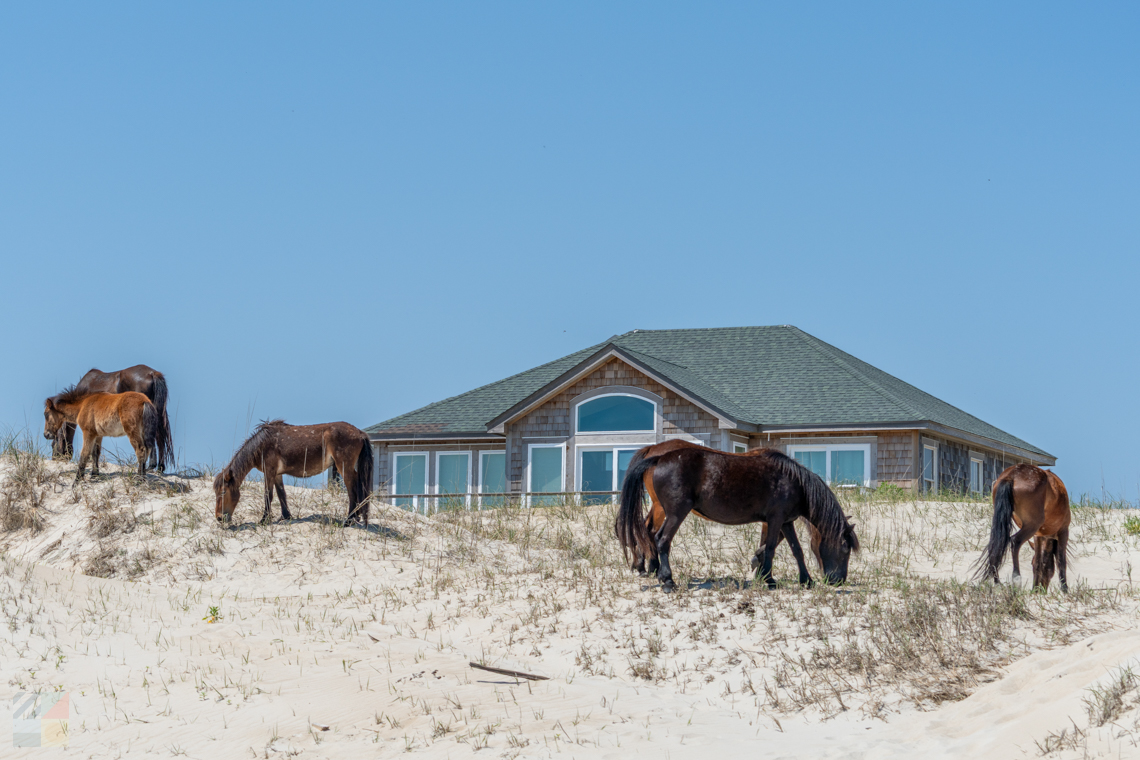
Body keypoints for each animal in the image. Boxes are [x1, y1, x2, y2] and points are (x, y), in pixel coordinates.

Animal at [214, 420, 374, 527]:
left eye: (223, 492)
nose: (219, 518)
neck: (261, 445)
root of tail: (360, 433)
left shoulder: (269, 472)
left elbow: (268, 495)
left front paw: (264, 520)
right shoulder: (277, 474)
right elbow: (281, 494)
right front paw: (286, 516)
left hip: (344, 467)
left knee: (352, 490)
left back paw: (349, 520)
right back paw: (356, 517)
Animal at [617, 445, 859, 591]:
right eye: (845, 548)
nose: (838, 581)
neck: (793, 482)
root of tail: (658, 457)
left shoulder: (786, 522)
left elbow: (796, 550)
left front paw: (806, 580)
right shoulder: (775, 519)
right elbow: (771, 548)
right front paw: (769, 579)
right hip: (675, 513)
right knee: (661, 539)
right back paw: (667, 580)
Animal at [975, 464, 1071, 592]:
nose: (1040, 590)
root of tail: (1011, 475)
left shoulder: (1038, 536)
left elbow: (1039, 561)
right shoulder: (1063, 531)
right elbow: (1061, 560)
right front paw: (1064, 589)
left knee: (997, 546)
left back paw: (997, 581)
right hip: (1032, 526)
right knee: (1015, 541)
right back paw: (1016, 579)